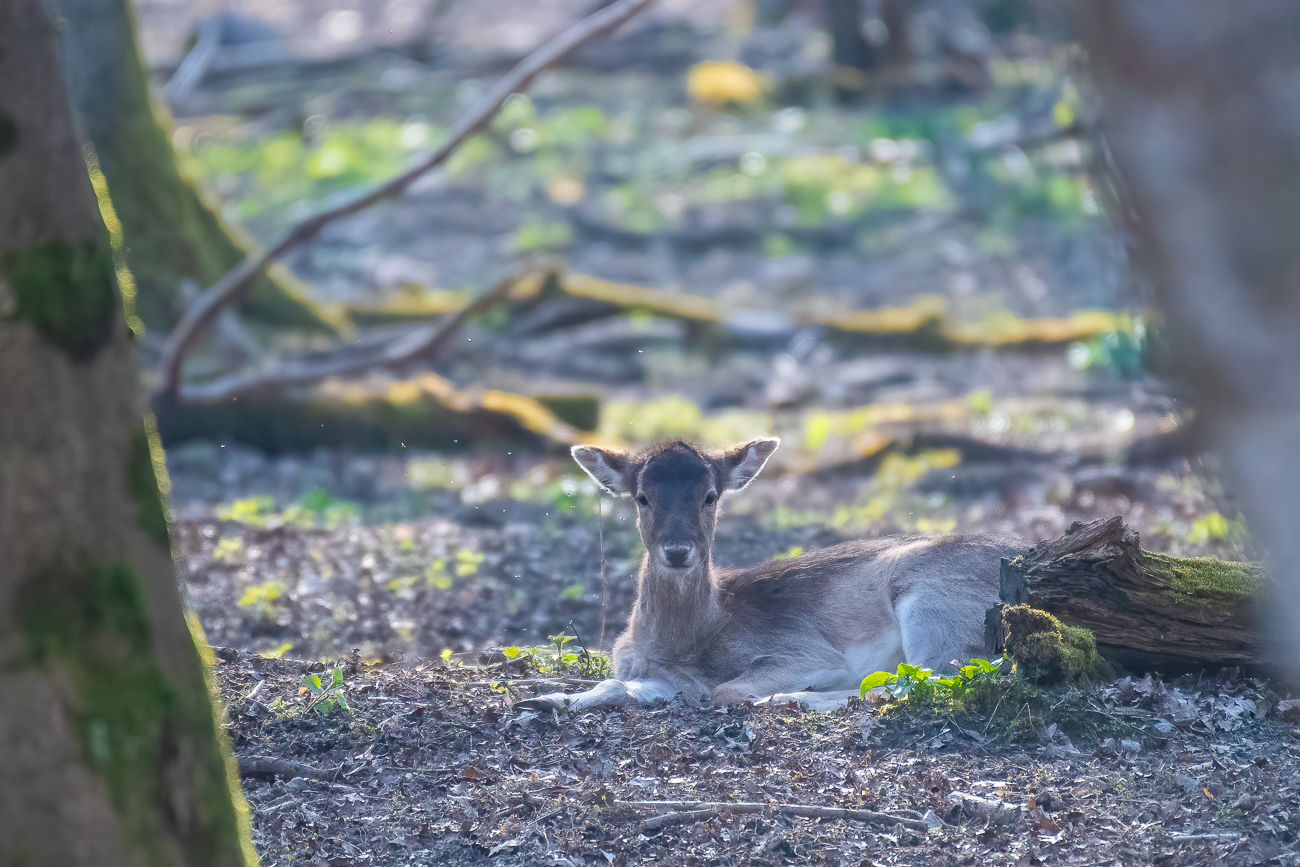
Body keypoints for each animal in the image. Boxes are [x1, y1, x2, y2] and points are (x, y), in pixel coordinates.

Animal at [517, 436, 1013, 717]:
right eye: (642, 497)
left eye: (710, 495)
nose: (677, 551)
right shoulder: (653, 673)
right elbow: (614, 683)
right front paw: (543, 699)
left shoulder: (802, 649)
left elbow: (726, 690)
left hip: (936, 606)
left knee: (934, 681)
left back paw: (791, 699)